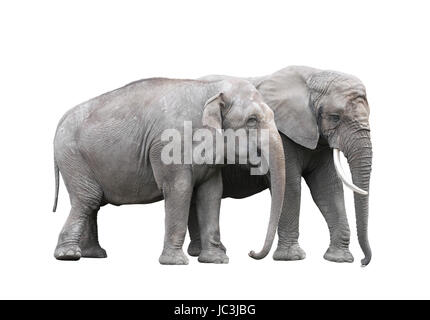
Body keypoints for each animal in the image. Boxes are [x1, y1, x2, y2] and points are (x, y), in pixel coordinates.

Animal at [53, 77, 286, 264]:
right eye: (252, 120)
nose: (251, 252)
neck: (210, 89)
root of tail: (61, 120)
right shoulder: (169, 146)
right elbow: (180, 189)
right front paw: (176, 262)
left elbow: (211, 194)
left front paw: (216, 261)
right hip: (72, 157)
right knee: (88, 199)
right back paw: (69, 256)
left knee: (92, 203)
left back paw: (94, 255)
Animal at [188, 66, 372, 266]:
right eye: (335, 117)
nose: (363, 262)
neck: (313, 78)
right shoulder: (282, 134)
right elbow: (291, 187)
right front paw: (291, 257)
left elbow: (327, 187)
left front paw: (340, 259)